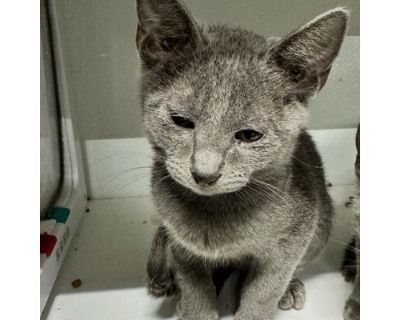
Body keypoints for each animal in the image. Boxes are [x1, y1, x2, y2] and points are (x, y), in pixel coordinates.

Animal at [136, 1, 348, 318]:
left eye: (249, 135)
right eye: (181, 121)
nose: (204, 173)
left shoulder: (294, 238)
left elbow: (265, 291)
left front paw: (263, 301)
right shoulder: (180, 244)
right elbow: (195, 288)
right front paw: (193, 306)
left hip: (321, 224)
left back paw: (289, 288)